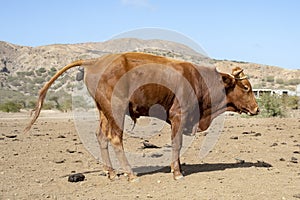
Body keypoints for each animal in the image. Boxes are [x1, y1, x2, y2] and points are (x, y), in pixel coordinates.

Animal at [24, 52, 258, 180]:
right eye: (246, 87)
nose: (257, 109)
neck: (199, 80)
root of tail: (95, 61)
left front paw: (177, 168)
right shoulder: (177, 116)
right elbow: (177, 143)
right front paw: (177, 172)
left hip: (103, 111)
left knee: (101, 137)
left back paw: (111, 173)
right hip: (116, 110)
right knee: (115, 138)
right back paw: (129, 174)